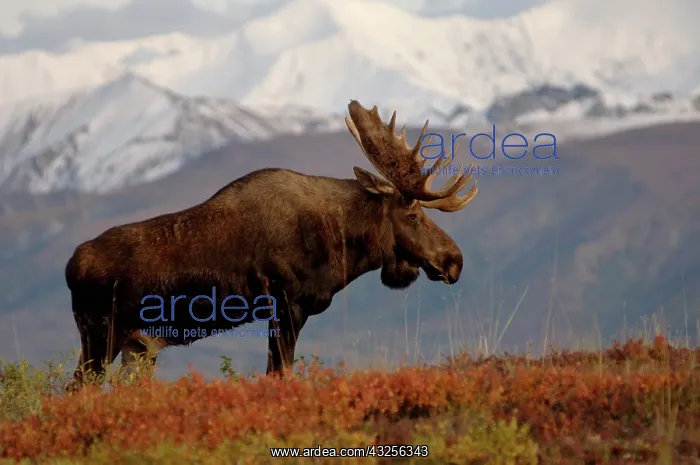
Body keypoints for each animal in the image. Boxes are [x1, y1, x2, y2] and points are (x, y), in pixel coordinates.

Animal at [64, 100, 478, 390]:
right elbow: (279, 374)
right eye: (413, 215)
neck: (341, 242)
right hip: (102, 333)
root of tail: (71, 267)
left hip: (138, 347)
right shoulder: (287, 305)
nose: (454, 260)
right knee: (78, 389)